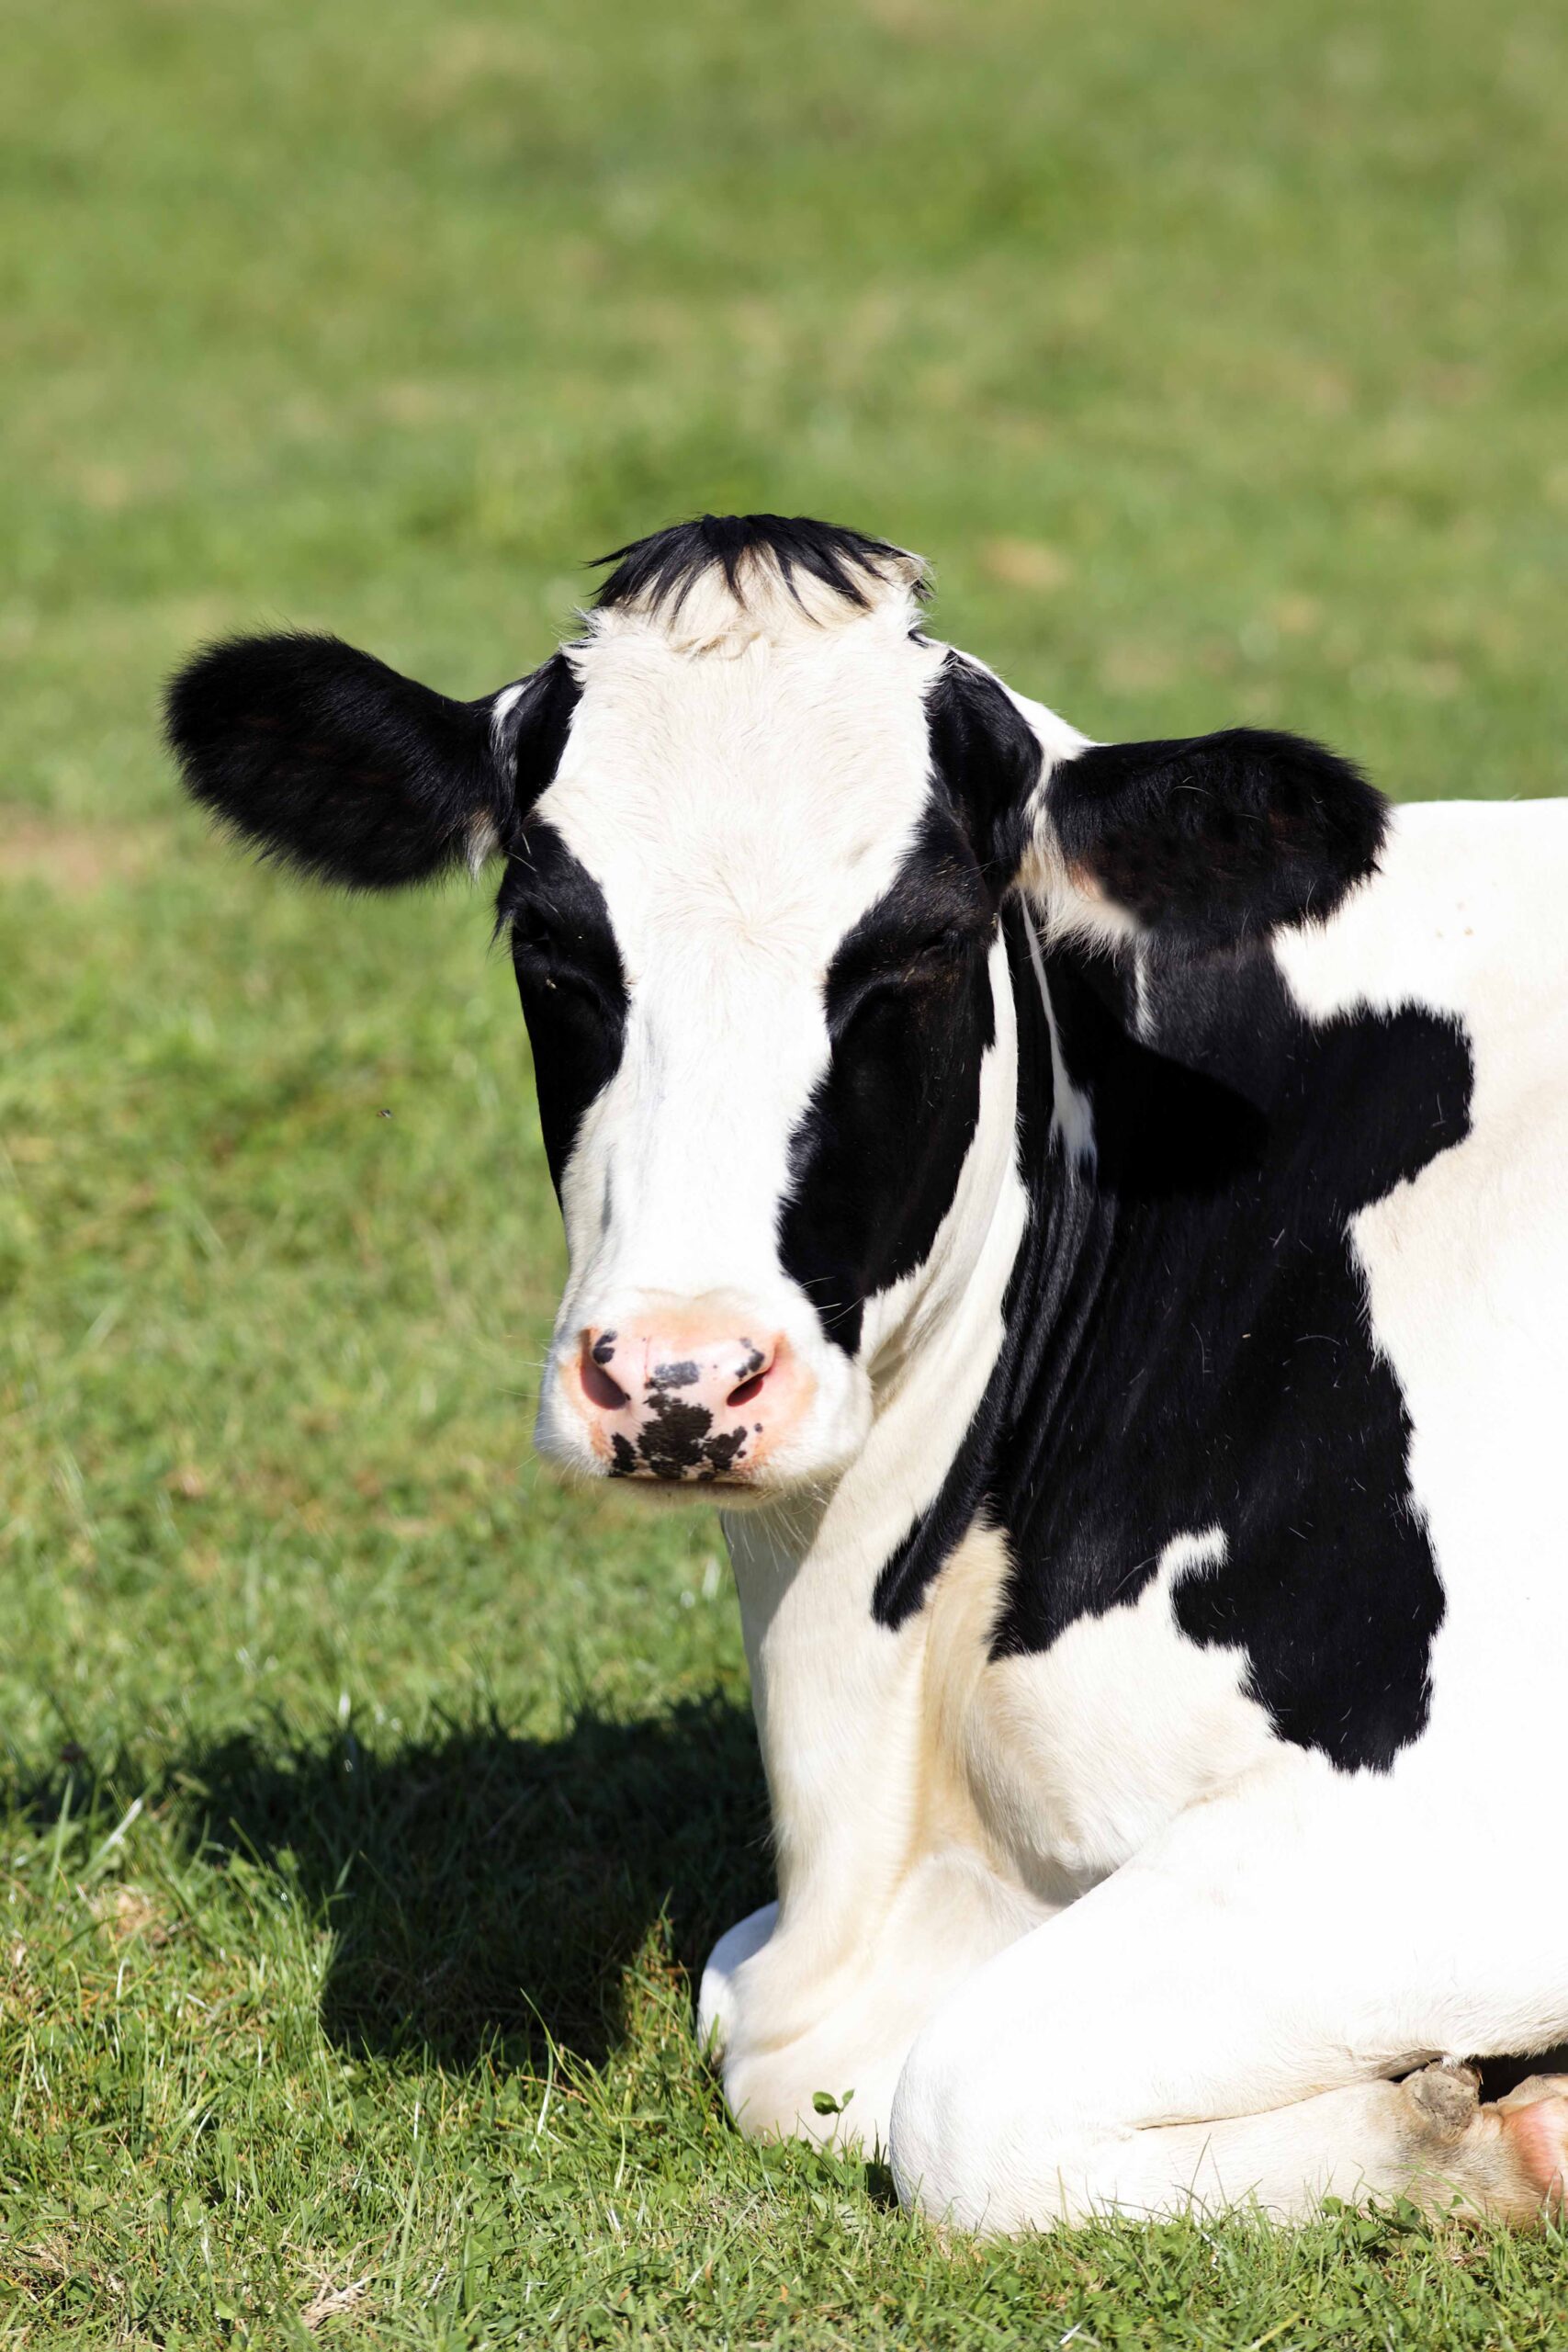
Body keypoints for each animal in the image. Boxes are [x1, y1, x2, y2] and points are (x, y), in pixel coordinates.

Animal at [169, 510, 1568, 2220]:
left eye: (921, 949)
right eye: (548, 943)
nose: (679, 1380)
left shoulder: (1464, 1816)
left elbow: (960, 2103)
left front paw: (1467, 2130)